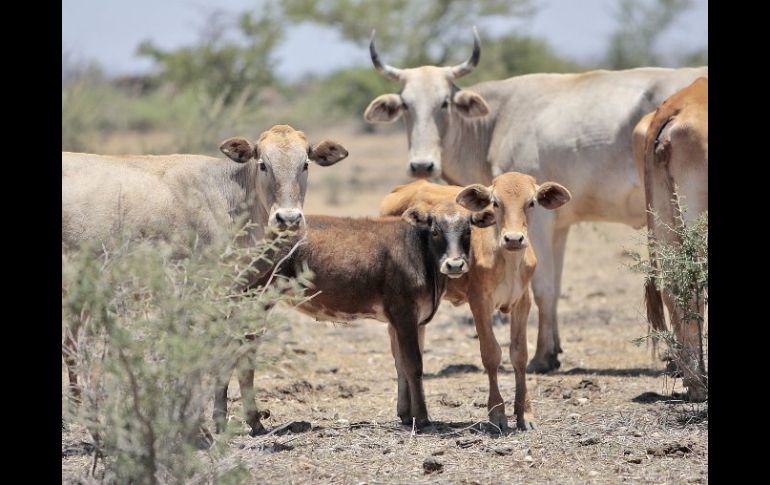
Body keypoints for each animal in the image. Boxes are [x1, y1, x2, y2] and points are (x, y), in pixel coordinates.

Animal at [62, 125, 349, 435]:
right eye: (263, 164)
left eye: (305, 164)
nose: (288, 218)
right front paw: (210, 421)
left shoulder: (247, 297)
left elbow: (243, 356)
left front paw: (251, 420)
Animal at [217, 200, 495, 433]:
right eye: (435, 230)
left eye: (468, 231)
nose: (455, 265)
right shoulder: (404, 313)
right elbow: (415, 365)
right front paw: (423, 418)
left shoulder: (410, 322)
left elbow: (401, 365)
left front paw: (406, 415)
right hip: (252, 303)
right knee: (237, 356)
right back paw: (244, 422)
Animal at [365, 27, 707, 372]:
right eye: (405, 105)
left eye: (444, 103)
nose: (422, 165)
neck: (497, 121)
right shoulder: (560, 226)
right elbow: (554, 288)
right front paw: (553, 349)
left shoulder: (539, 221)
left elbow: (542, 288)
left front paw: (542, 356)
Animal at [380, 173, 571, 431]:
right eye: (496, 203)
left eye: (531, 202)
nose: (513, 239)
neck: (507, 262)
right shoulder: (479, 302)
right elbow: (491, 354)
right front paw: (498, 414)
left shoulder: (523, 302)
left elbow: (519, 355)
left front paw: (525, 414)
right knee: (398, 352)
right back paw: (405, 409)